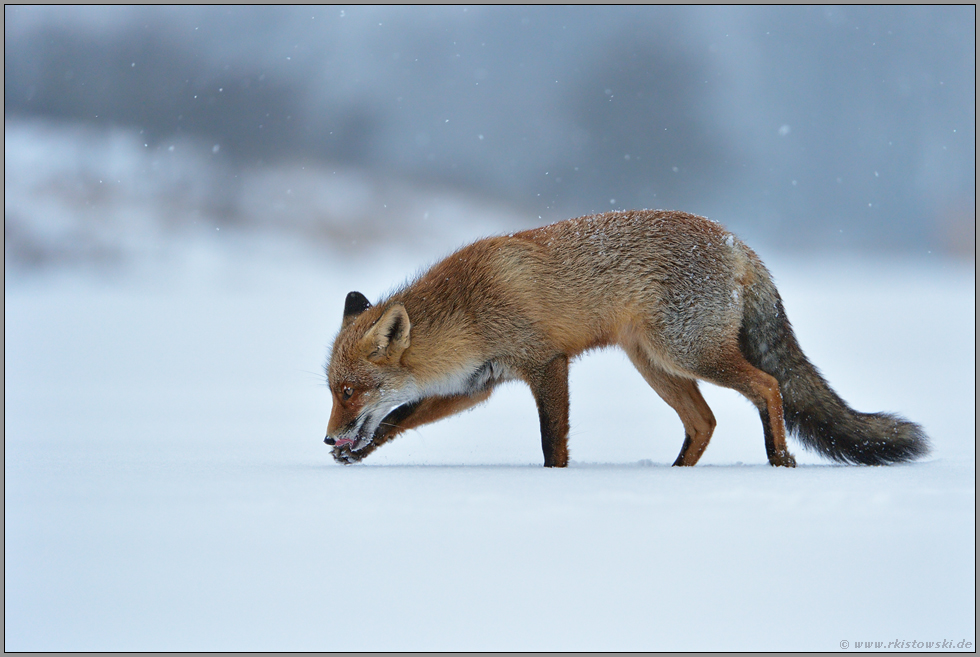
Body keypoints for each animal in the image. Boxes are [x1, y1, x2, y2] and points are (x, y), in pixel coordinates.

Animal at [326, 210, 932, 466]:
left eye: (350, 391)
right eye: (333, 391)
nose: (329, 438)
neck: (469, 313)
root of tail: (736, 242)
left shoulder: (547, 364)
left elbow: (552, 444)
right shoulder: (476, 384)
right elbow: (399, 420)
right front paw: (357, 456)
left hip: (687, 354)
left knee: (768, 387)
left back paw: (779, 458)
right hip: (657, 365)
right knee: (704, 422)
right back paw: (676, 480)